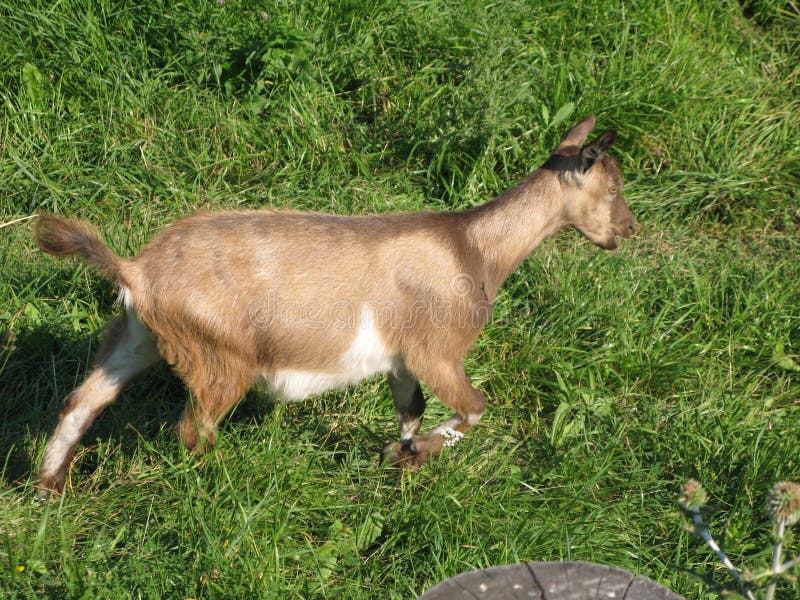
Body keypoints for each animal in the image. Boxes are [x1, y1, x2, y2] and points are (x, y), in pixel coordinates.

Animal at [31, 115, 636, 494]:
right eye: (612, 188)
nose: (627, 230)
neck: (474, 246)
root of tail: (138, 271)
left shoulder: (399, 359)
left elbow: (411, 408)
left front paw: (402, 455)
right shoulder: (438, 351)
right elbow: (475, 407)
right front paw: (415, 455)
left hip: (138, 336)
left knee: (83, 400)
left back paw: (48, 486)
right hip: (220, 354)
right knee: (194, 429)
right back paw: (221, 479)